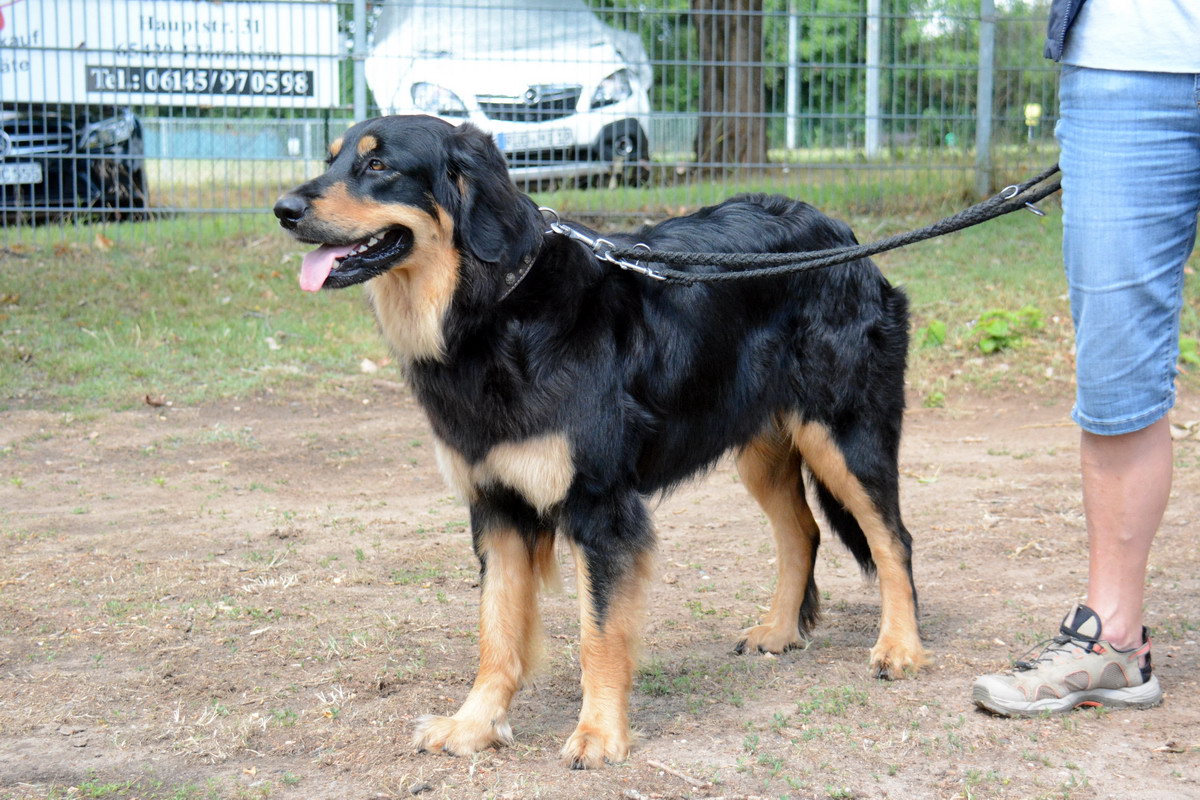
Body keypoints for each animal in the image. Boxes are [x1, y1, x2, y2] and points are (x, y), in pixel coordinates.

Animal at [274, 113, 926, 767]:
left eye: (378, 165)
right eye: (331, 160)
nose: (282, 209)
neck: (495, 307)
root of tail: (841, 233)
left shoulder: (601, 508)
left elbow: (600, 635)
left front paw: (599, 734)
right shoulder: (497, 506)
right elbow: (496, 632)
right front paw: (474, 724)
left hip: (845, 434)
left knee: (892, 539)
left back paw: (900, 646)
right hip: (762, 447)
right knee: (803, 532)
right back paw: (781, 631)